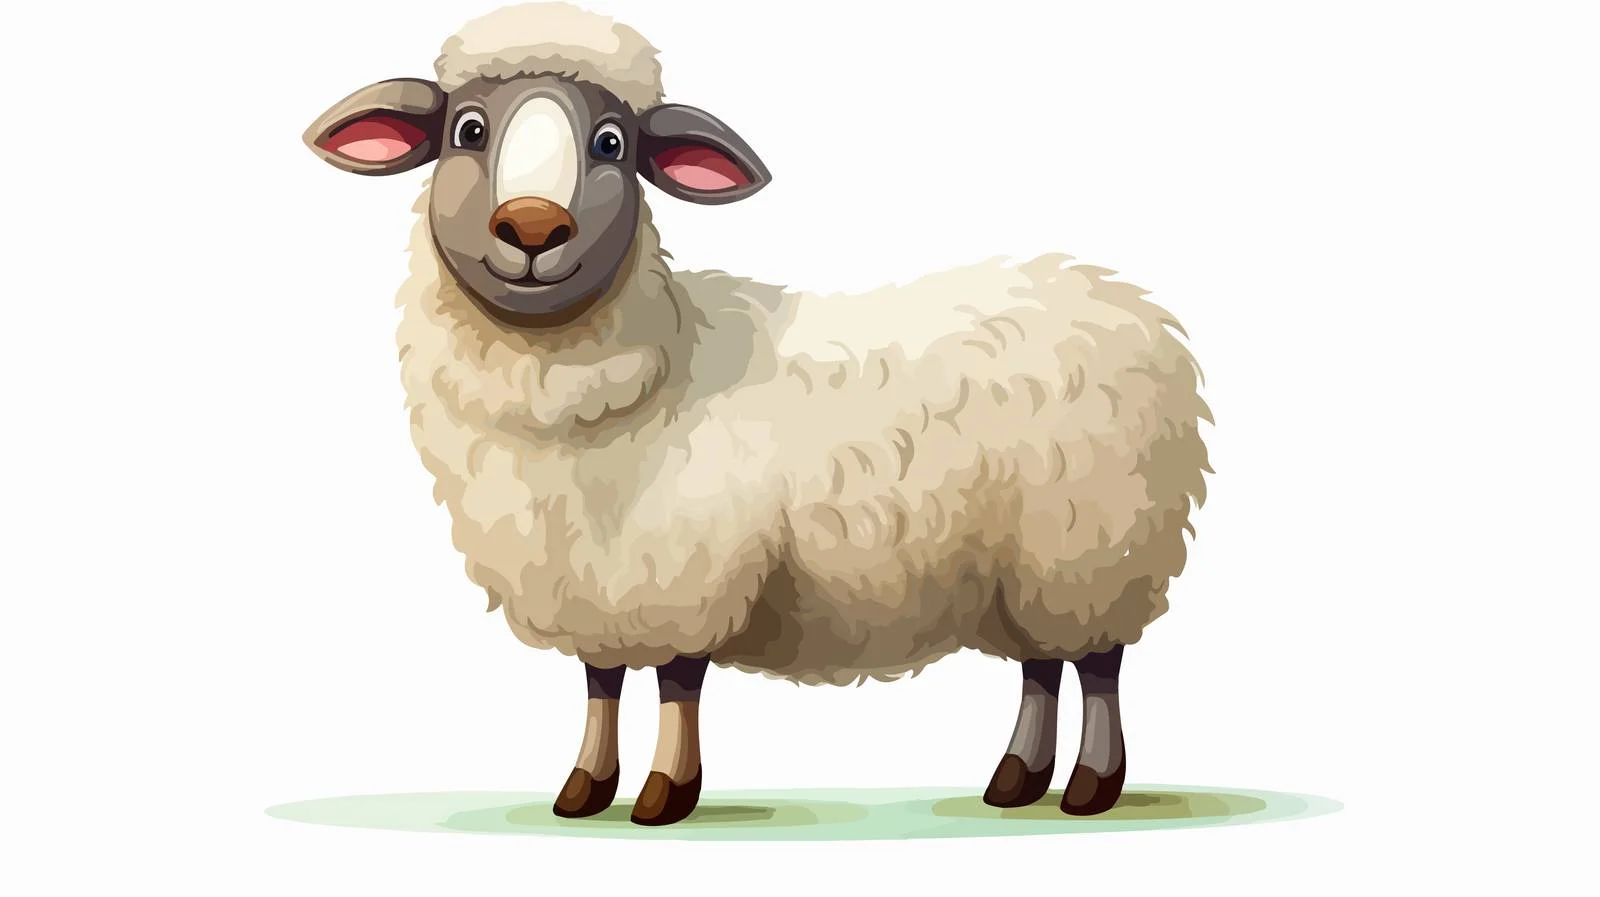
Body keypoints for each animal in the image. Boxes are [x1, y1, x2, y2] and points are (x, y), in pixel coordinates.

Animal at [303, 1, 1210, 826]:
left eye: (611, 143)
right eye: (468, 130)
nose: (531, 227)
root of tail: (1132, 306)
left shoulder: (682, 567)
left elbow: (677, 684)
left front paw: (665, 794)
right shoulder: (596, 582)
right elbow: (601, 681)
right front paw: (583, 790)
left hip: (1090, 549)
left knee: (1095, 666)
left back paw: (1090, 787)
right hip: (1026, 569)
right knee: (1041, 667)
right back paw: (1016, 780)